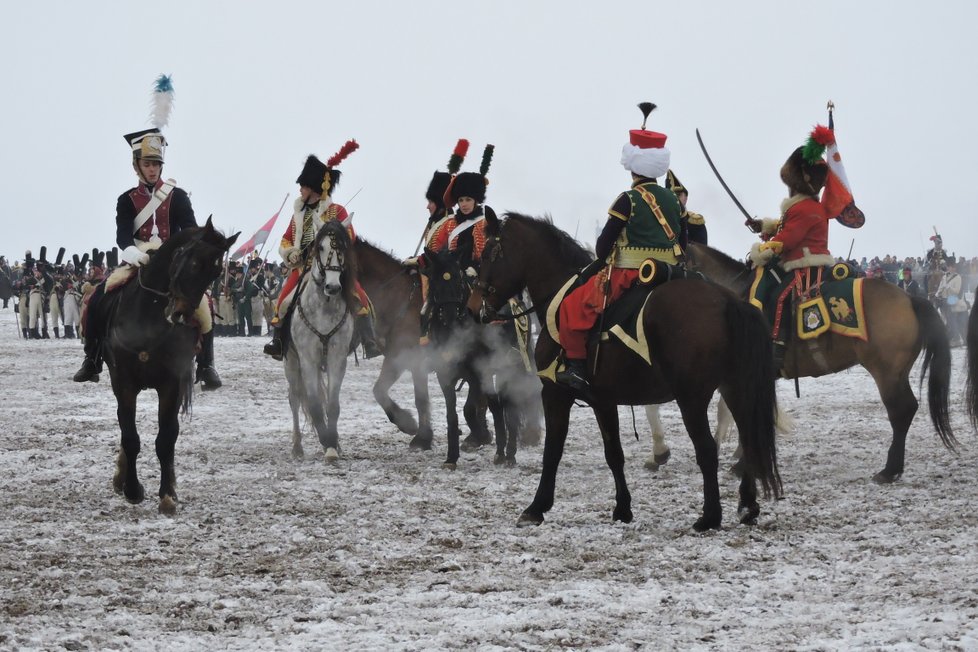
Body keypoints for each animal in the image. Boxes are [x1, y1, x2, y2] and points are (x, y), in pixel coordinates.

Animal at [92, 219, 238, 516]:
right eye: (192, 262)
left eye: (216, 270)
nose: (181, 314)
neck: (149, 315)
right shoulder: (123, 383)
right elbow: (130, 436)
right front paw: (133, 489)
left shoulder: (172, 384)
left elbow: (166, 438)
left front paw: (167, 494)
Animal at [282, 220, 354, 464]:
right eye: (320, 248)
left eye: (343, 248)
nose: (332, 287)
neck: (324, 306)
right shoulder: (307, 359)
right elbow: (313, 403)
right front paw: (326, 441)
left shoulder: (337, 358)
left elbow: (332, 404)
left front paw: (333, 445)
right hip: (291, 363)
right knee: (294, 399)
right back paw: (296, 447)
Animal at [466, 214, 776, 528]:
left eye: (489, 253)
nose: (472, 307)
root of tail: (728, 301)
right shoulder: (604, 400)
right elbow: (614, 453)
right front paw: (623, 509)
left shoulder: (555, 393)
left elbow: (552, 452)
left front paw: (536, 507)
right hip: (735, 389)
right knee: (748, 440)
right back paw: (747, 506)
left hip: (692, 399)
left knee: (707, 450)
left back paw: (710, 516)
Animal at [680, 239, 952, 478]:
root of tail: (910, 299)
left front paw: (745, 464)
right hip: (898, 372)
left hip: (886, 373)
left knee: (901, 411)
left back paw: (889, 470)